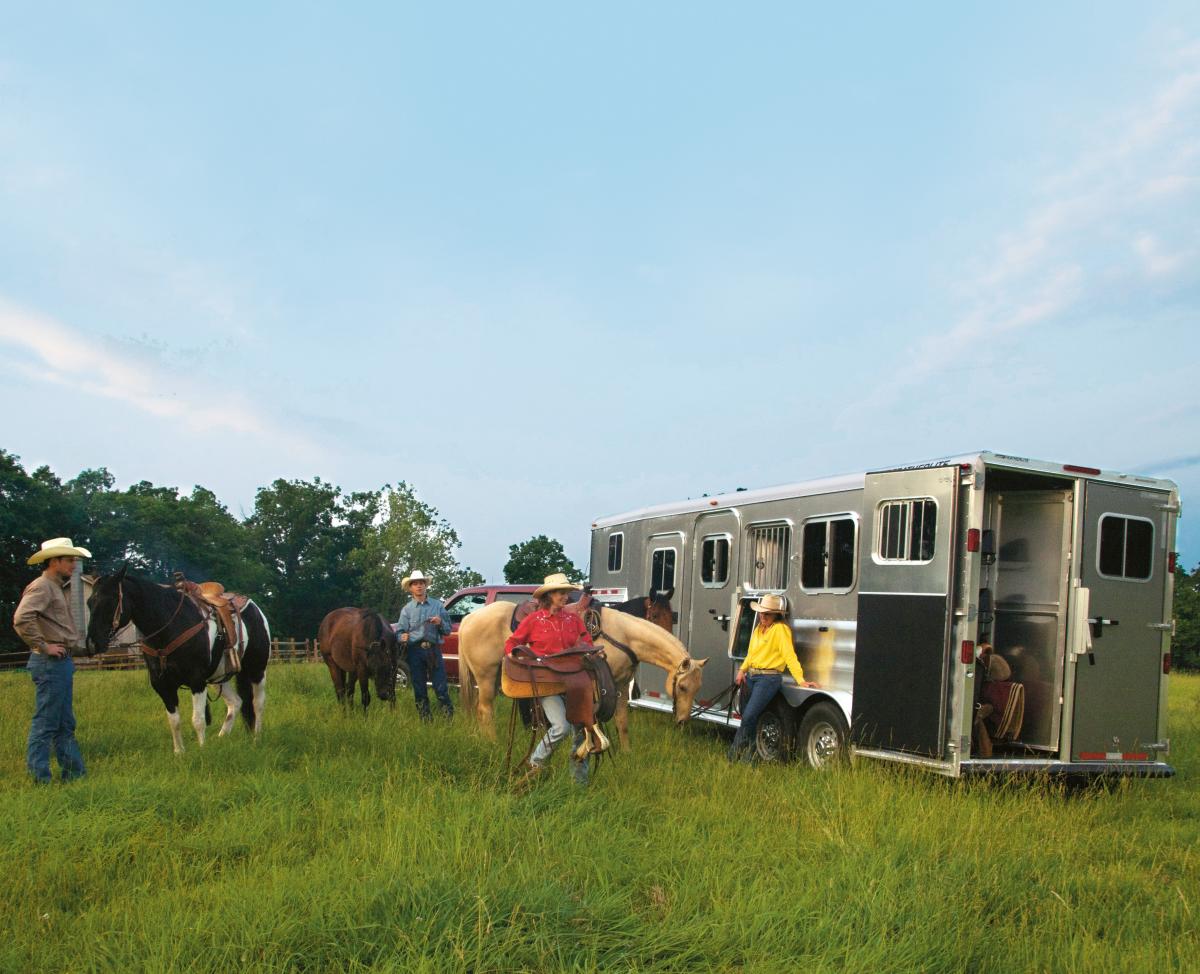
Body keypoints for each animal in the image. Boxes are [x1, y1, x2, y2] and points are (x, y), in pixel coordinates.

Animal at [85, 563, 271, 753]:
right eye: (89, 602)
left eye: (110, 601)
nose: (92, 643)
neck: (170, 626)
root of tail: (255, 609)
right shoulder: (161, 684)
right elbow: (174, 721)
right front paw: (179, 753)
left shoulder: (197, 681)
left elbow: (198, 720)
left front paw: (202, 750)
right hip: (219, 677)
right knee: (236, 702)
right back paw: (221, 738)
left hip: (257, 670)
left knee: (257, 703)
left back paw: (256, 739)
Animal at [456, 602, 700, 753]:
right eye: (683, 687)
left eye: (697, 689)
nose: (682, 720)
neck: (623, 635)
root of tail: (469, 618)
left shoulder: (620, 684)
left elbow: (622, 722)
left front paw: (626, 752)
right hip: (486, 676)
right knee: (485, 709)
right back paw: (493, 742)